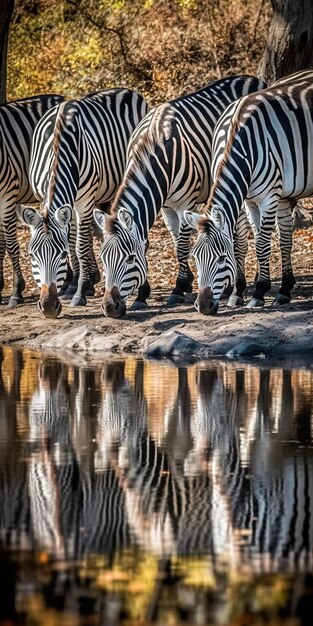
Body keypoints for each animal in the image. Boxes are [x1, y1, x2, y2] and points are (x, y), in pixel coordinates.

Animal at [16, 89, 148, 316]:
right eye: (32, 255)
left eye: (60, 255)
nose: (48, 306)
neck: (59, 145)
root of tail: (129, 90)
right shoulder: (49, 199)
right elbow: (71, 241)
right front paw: (76, 284)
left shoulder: (84, 202)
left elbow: (80, 245)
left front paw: (80, 291)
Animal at [92, 73, 266, 316]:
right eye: (103, 259)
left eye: (130, 259)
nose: (110, 308)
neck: (155, 145)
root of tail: (252, 78)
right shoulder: (165, 206)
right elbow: (170, 244)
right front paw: (148, 293)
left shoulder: (185, 203)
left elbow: (182, 246)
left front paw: (177, 288)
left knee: (243, 236)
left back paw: (241, 288)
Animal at [184, 69, 312, 312]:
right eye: (195, 257)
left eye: (221, 259)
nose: (203, 306)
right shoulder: (249, 199)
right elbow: (243, 242)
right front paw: (238, 292)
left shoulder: (267, 197)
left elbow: (261, 244)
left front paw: (259, 291)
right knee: (285, 238)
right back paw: (285, 289)